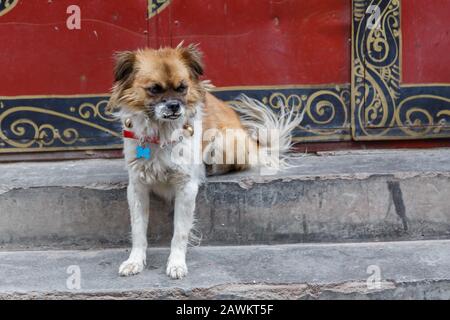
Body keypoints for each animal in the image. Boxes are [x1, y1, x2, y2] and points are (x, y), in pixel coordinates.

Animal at [107, 43, 300, 278]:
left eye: (182, 87)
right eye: (154, 89)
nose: (174, 106)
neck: (161, 133)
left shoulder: (186, 187)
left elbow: (180, 232)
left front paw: (176, 263)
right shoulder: (137, 187)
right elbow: (138, 229)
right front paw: (135, 260)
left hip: (223, 143)